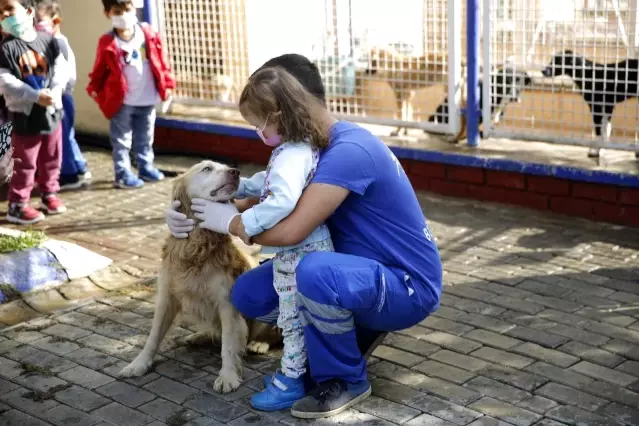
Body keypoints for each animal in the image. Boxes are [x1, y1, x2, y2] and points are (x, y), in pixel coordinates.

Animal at [120, 160, 280, 392]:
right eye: (207, 169)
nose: (235, 172)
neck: (196, 244)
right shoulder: (166, 297)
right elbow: (153, 336)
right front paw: (139, 363)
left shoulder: (226, 303)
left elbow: (228, 344)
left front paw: (228, 376)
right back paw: (198, 336)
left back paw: (259, 343)